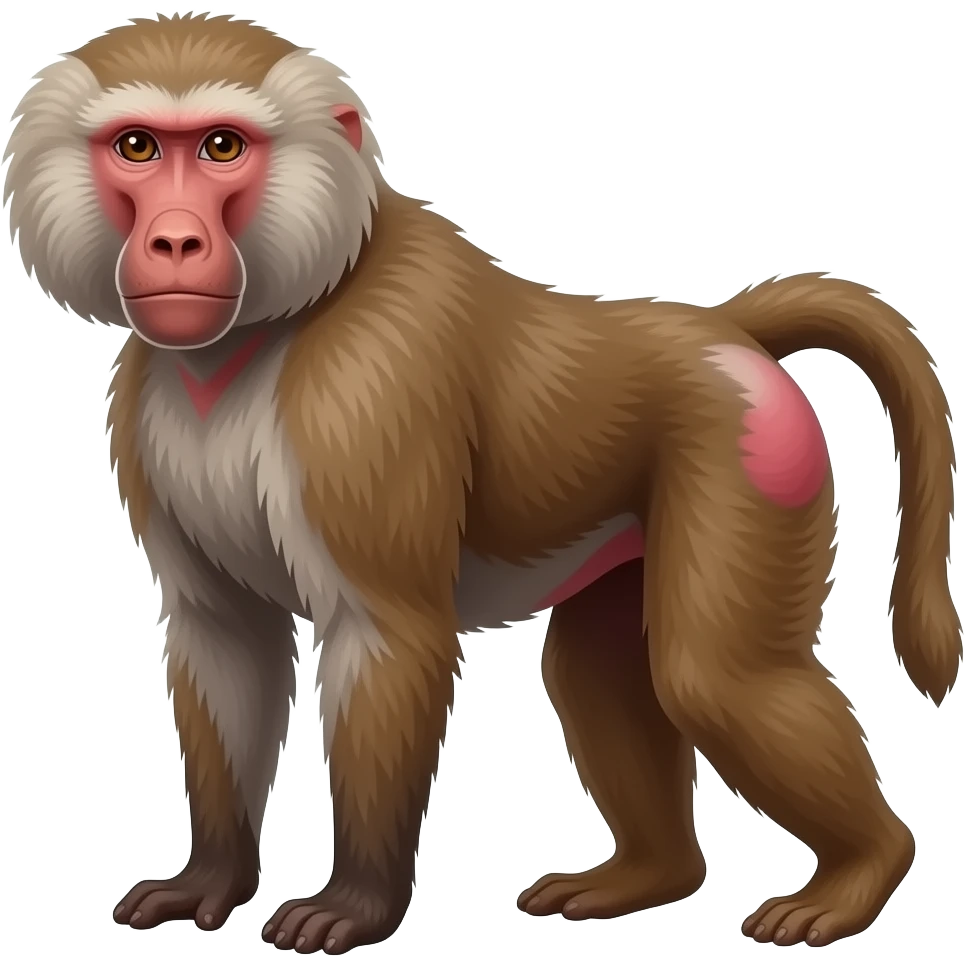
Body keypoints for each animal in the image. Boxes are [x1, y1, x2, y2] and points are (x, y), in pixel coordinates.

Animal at [3, 11, 960, 956]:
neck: (268, 324)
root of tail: (722, 331)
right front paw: (210, 880)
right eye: (136, 146)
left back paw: (858, 873)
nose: (175, 241)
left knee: (712, 676)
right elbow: (224, 633)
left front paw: (355, 904)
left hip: (745, 451)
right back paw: (647, 875)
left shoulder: (364, 392)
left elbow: (386, 635)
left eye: (221, 147)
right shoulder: (145, 404)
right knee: (598, 673)